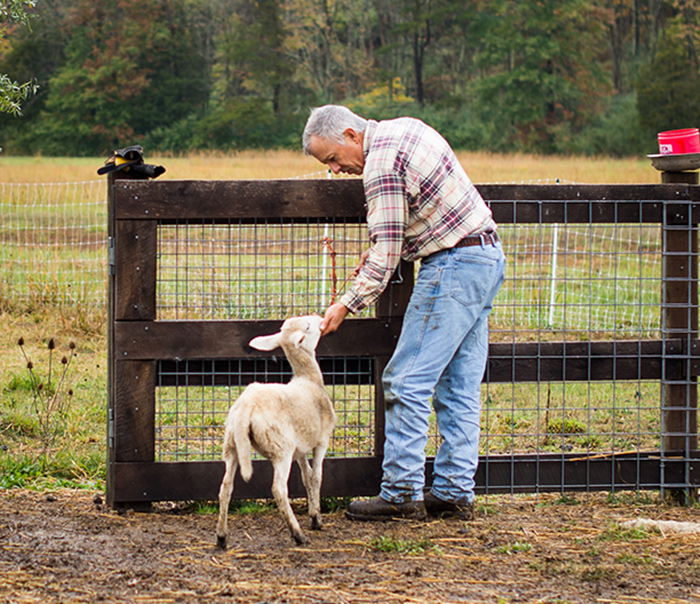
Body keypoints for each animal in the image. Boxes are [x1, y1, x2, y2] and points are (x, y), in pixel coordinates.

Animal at [216, 315, 336, 548]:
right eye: (308, 326)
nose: (320, 317)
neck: (309, 378)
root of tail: (247, 406)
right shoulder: (321, 441)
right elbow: (316, 476)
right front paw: (316, 518)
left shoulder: (300, 449)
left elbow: (306, 477)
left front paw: (312, 512)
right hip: (281, 447)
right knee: (278, 489)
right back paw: (298, 534)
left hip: (232, 444)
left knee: (225, 487)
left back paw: (221, 537)